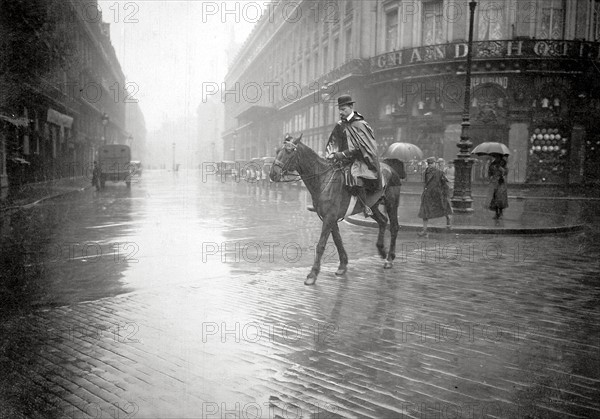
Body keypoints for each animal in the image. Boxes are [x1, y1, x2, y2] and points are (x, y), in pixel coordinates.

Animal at [270, 135, 404, 286]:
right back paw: (381, 250)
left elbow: (321, 244)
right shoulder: (330, 218)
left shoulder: (329, 218)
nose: (272, 174)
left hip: (392, 204)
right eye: (277, 151)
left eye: (289, 151)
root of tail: (390, 168)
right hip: (373, 206)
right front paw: (342, 265)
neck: (323, 179)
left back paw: (389, 259)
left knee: (394, 227)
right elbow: (337, 240)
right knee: (382, 221)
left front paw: (312, 274)